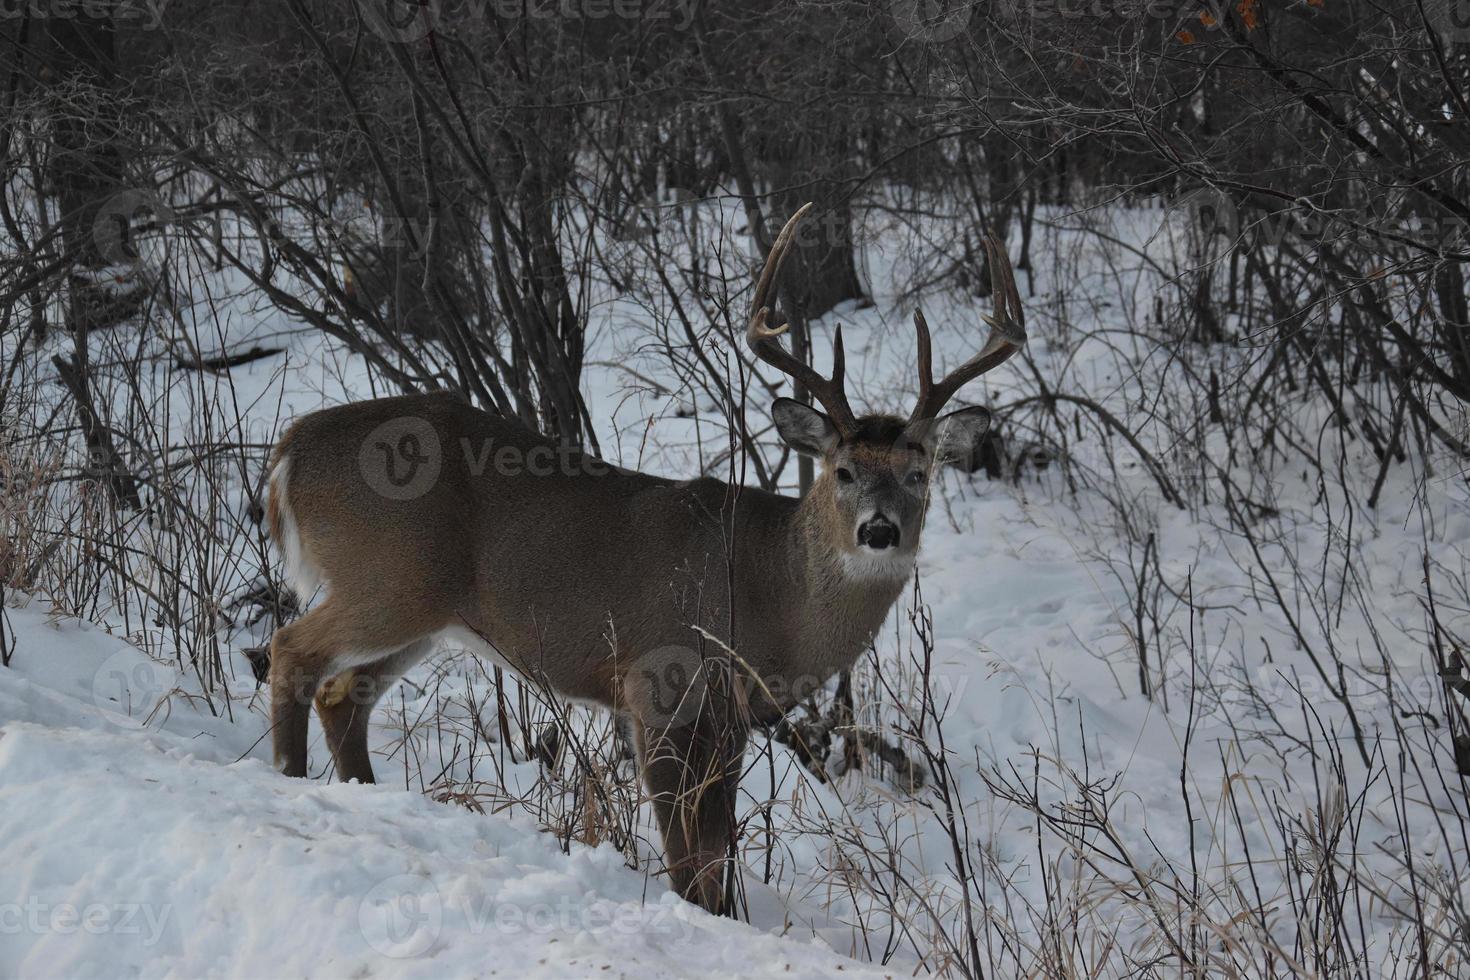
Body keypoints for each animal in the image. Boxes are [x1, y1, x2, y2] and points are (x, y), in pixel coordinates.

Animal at [264, 202, 1023, 916]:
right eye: (842, 470)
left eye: (919, 472)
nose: (879, 530)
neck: (772, 593)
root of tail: (291, 448)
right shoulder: (655, 684)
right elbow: (686, 858)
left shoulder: (732, 721)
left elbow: (716, 853)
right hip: (388, 580)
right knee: (291, 650)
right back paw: (288, 781)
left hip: (424, 613)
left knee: (343, 692)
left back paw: (360, 791)